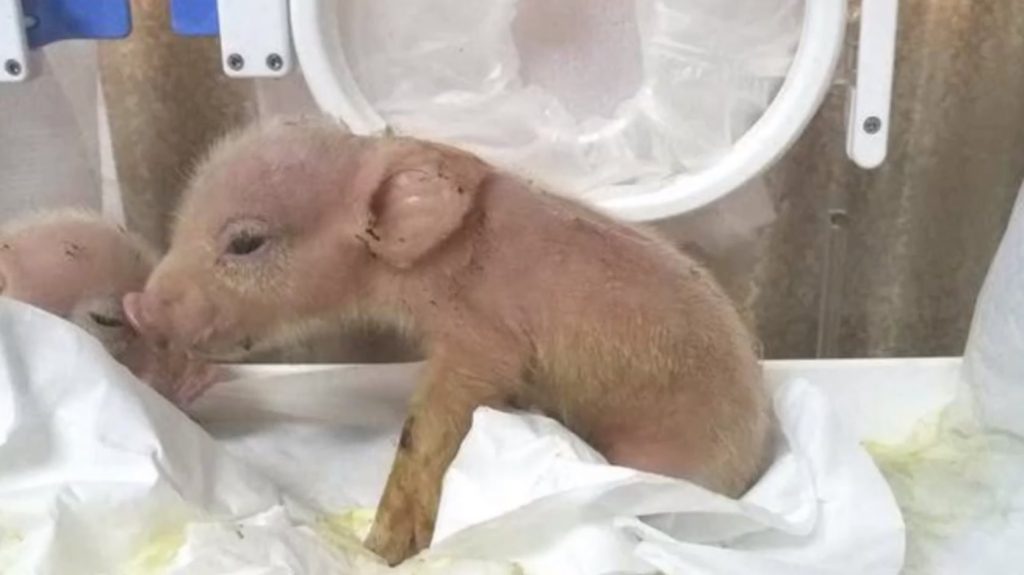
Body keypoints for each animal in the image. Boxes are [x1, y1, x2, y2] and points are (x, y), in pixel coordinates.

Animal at [123, 115, 771, 565]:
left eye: (246, 243)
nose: (136, 306)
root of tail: (754, 459)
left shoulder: (482, 340)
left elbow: (431, 426)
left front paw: (380, 549)